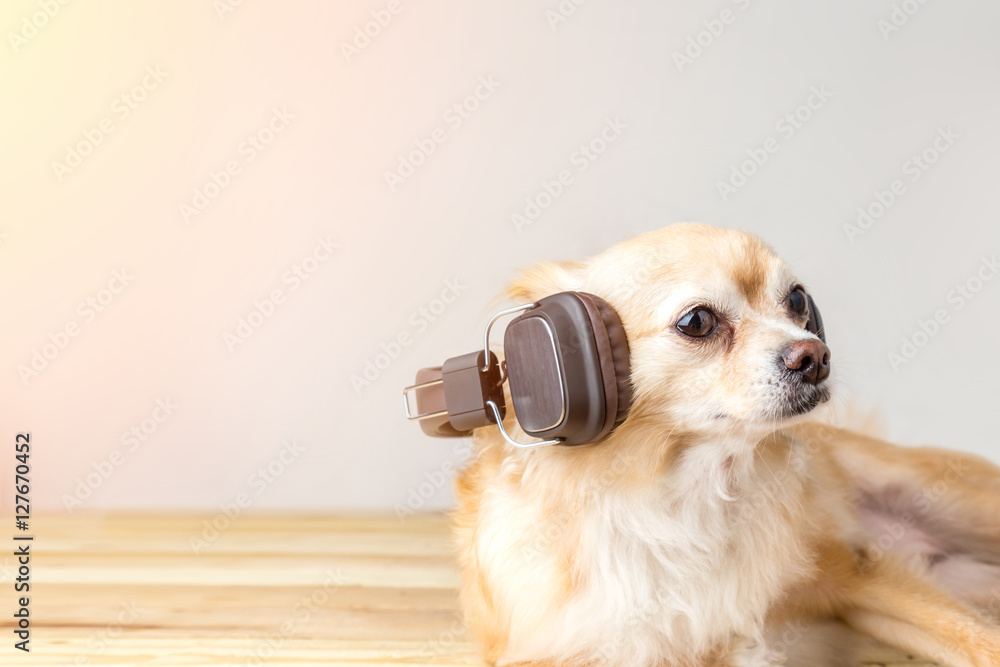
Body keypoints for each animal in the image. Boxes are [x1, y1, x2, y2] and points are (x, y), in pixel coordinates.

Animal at [452, 226, 1000, 667]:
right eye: (696, 321)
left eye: (797, 300)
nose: (815, 354)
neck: (686, 500)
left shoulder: (859, 572)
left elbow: (975, 639)